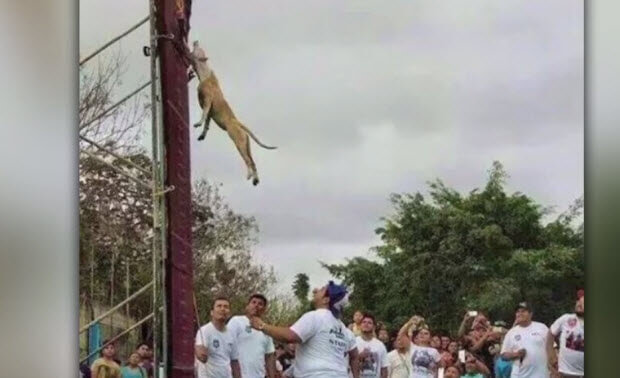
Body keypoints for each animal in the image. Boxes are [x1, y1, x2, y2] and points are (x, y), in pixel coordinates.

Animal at [189, 40, 276, 185]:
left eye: (199, 49)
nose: (196, 41)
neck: (205, 72)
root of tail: (238, 123)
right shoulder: (210, 112)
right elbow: (207, 122)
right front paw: (202, 134)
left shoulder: (207, 102)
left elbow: (204, 114)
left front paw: (198, 124)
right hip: (246, 143)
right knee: (252, 161)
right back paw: (255, 179)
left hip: (238, 141)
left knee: (247, 160)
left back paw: (249, 175)